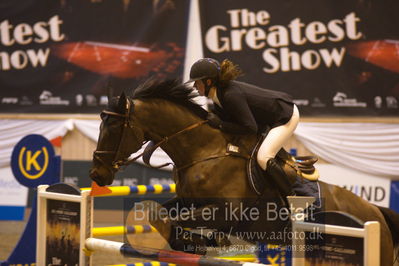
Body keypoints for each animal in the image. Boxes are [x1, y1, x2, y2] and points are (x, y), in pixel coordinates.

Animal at [90, 79, 399, 266]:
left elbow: (173, 219)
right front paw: (194, 242)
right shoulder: (188, 200)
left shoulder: (226, 211)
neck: (203, 151)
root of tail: (376, 214)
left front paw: (197, 241)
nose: (96, 175)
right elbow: (156, 212)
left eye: (113, 128)